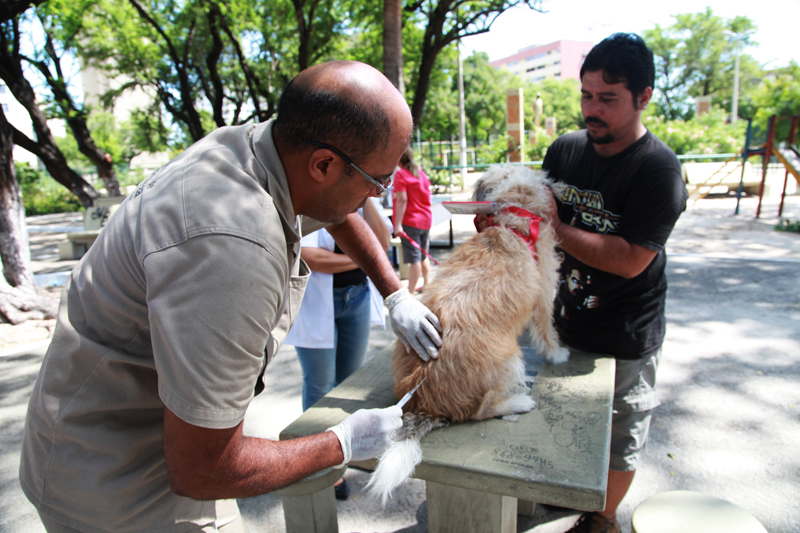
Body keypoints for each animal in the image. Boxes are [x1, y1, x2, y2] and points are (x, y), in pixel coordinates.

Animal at [368, 163, 568, 502]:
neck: (512, 222)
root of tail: (426, 404)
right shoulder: (544, 297)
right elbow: (547, 331)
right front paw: (558, 353)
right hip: (509, 359)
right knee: (481, 411)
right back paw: (518, 403)